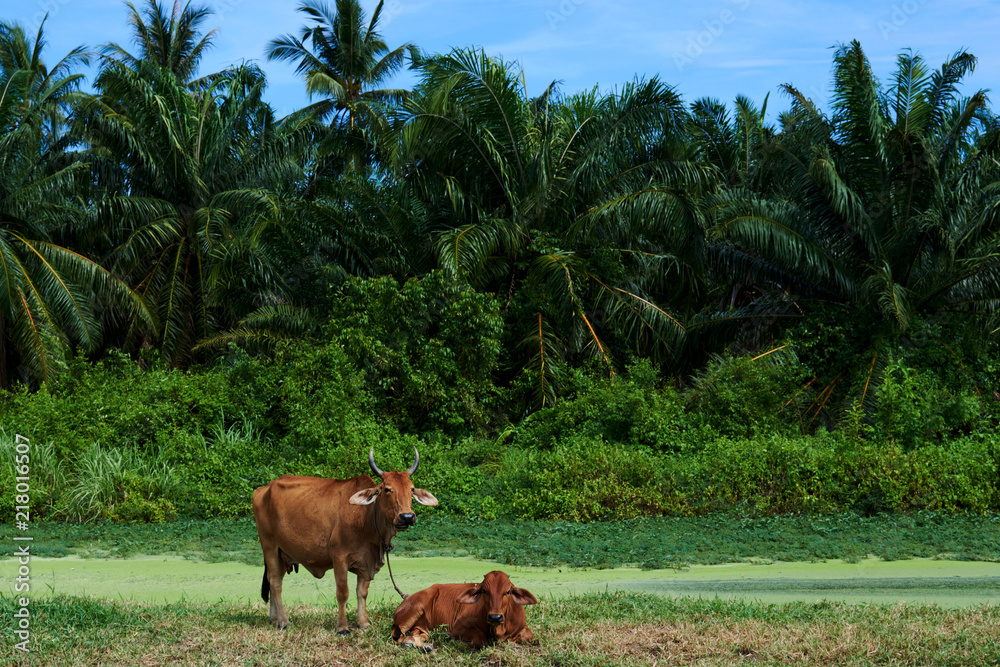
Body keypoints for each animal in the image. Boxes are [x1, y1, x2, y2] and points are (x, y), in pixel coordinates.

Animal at [252, 448, 436, 632]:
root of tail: (264, 488)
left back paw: (274, 619)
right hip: (269, 546)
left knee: (273, 579)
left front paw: (363, 623)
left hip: (283, 553)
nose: (407, 517)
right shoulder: (339, 557)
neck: (365, 518)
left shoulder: (366, 562)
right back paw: (283, 621)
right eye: (387, 489)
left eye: (411, 489)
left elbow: (362, 592)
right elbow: (343, 593)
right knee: (275, 583)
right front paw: (342, 627)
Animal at [390, 572, 540, 648]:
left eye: (508, 591)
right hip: (413, 611)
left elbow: (528, 636)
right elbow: (480, 639)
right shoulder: (457, 628)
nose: (495, 617)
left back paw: (426, 646)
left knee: (415, 634)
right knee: (399, 637)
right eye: (484, 591)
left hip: (422, 628)